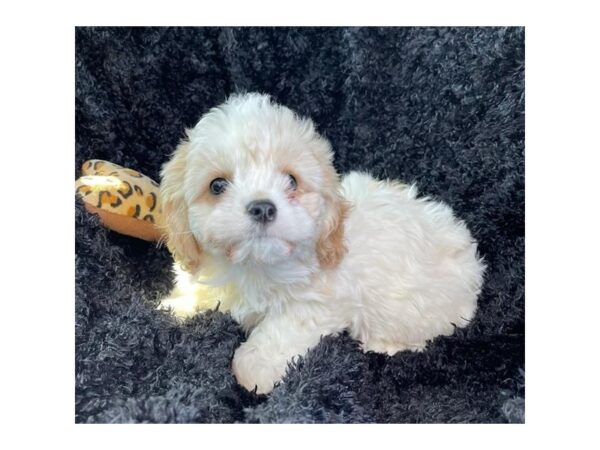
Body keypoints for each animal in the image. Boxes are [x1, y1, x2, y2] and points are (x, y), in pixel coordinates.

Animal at [161, 92, 488, 394]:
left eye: (292, 181)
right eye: (216, 185)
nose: (263, 207)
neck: (254, 267)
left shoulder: (321, 300)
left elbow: (282, 329)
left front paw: (254, 368)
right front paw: (175, 306)